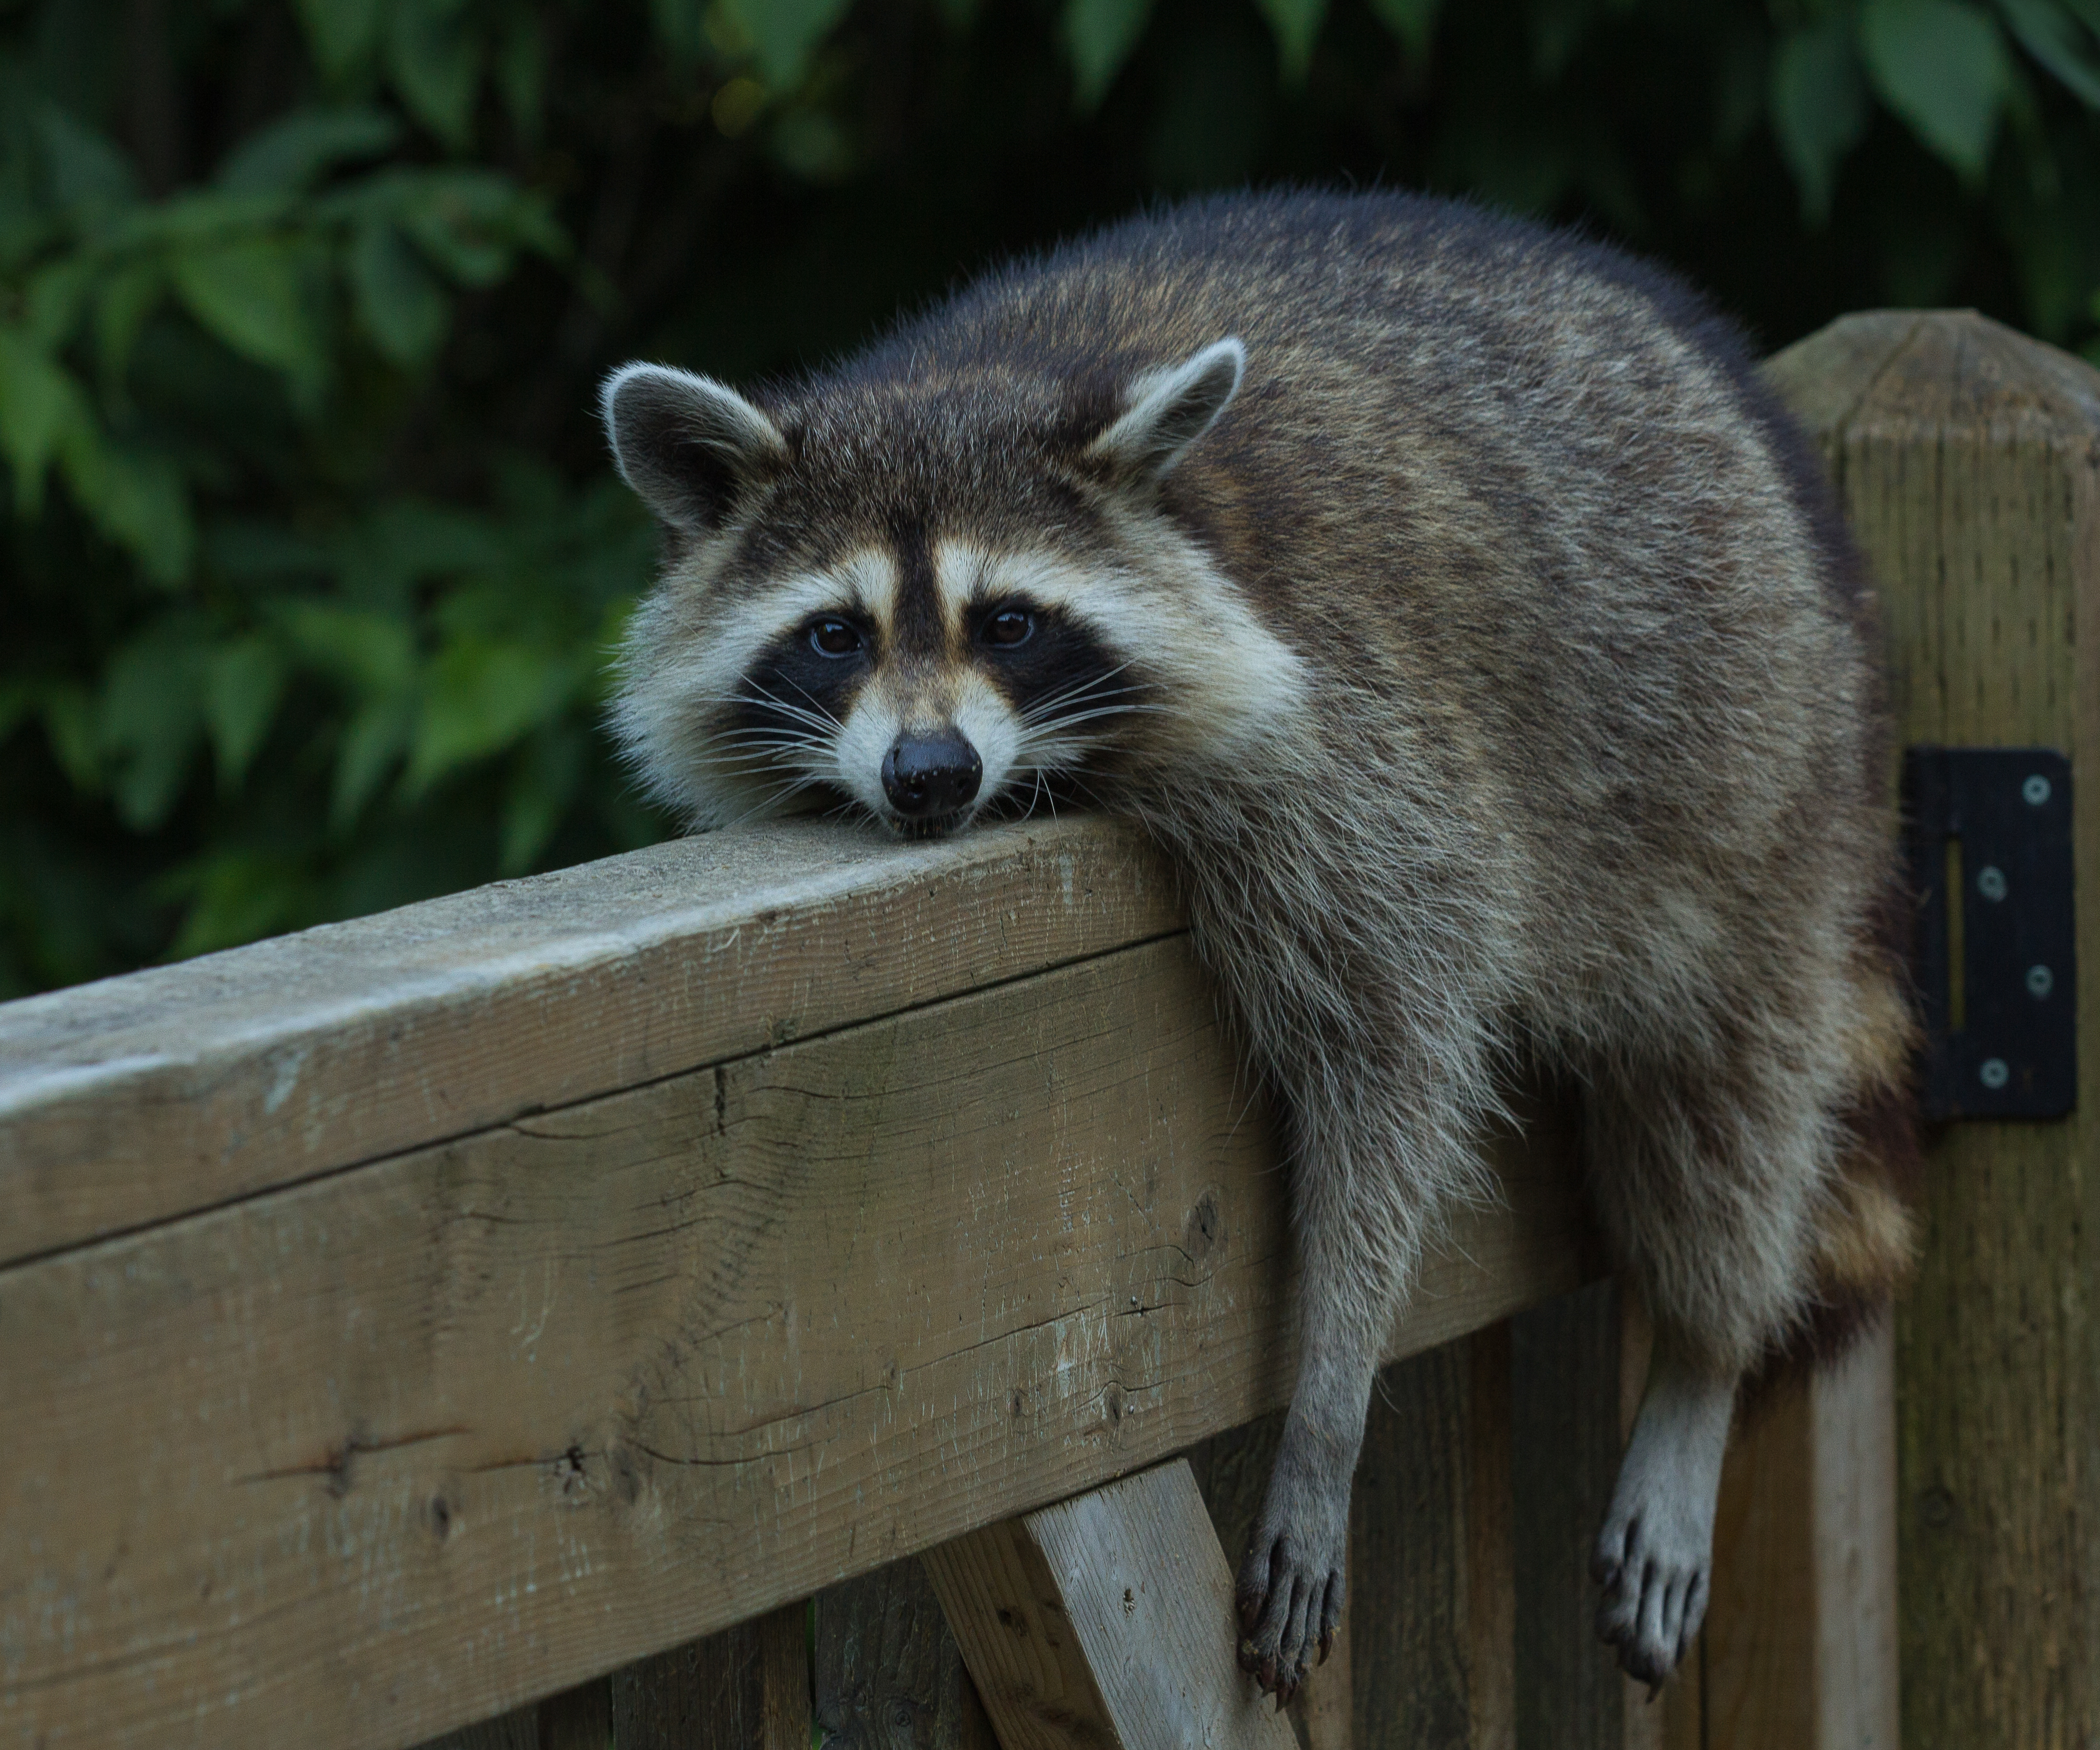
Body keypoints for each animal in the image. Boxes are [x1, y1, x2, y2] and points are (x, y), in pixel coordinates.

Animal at [596, 188, 1924, 1697]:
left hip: (1755, 763)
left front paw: (1329, 1404)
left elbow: (1396, 1058)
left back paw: (1701, 1353)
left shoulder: (1355, 730)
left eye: (1009, 623)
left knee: (1726, 1096)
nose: (930, 777)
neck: (973, 374)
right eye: (835, 635)